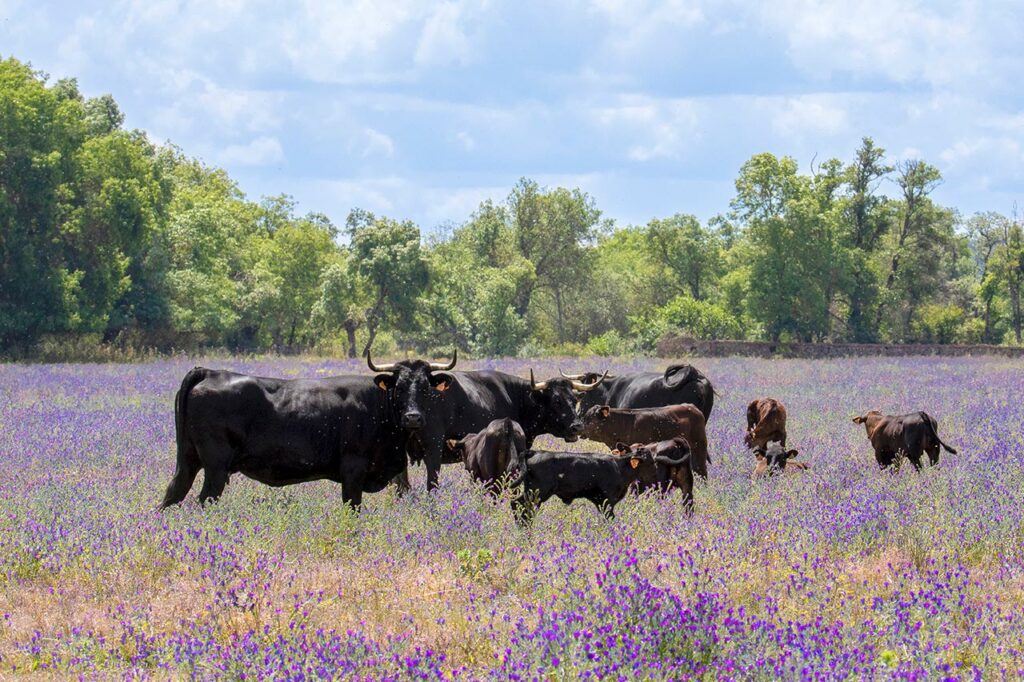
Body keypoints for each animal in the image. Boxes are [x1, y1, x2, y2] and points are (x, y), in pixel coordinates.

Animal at [159, 366, 407, 503]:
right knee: (204, 499)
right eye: (401, 388)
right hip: (216, 467)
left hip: (188, 460)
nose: (413, 416)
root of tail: (210, 373)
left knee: (174, 493)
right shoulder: (353, 471)